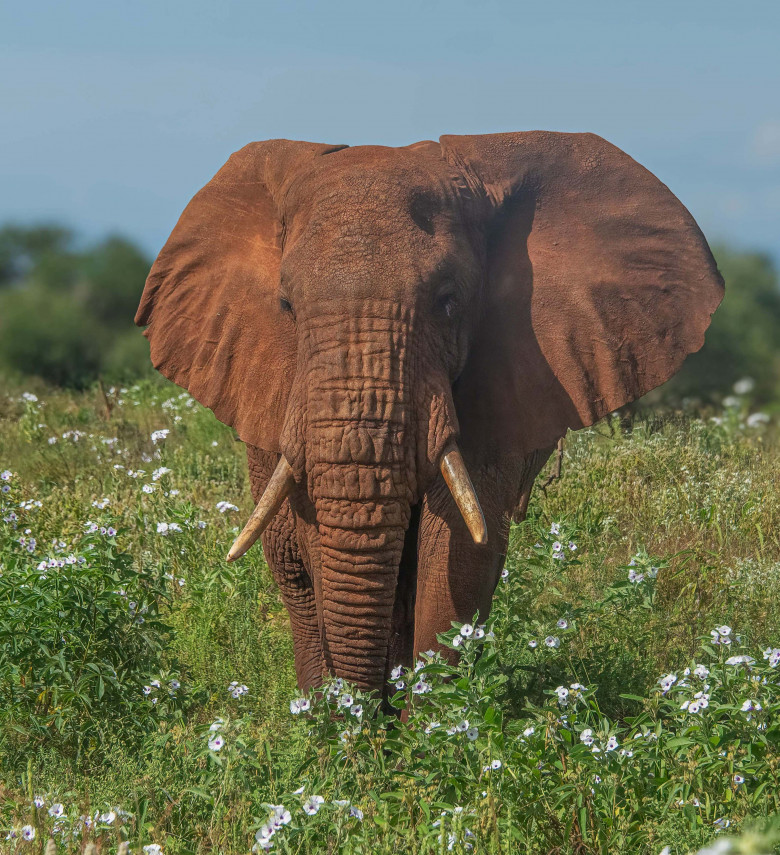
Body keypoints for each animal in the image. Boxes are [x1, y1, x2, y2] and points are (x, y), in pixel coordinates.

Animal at [136, 132, 724, 696]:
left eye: (447, 302)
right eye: (286, 307)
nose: (359, 713)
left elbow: (458, 550)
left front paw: (431, 721)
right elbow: (320, 541)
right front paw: (346, 724)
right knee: (294, 571)